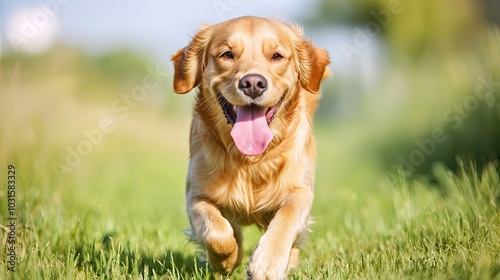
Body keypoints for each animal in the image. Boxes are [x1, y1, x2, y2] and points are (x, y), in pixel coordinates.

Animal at [170, 15, 330, 280]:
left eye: (276, 56)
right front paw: (227, 260)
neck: (250, 160)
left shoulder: (300, 191)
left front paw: (267, 263)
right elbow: (218, 232)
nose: (253, 83)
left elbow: (286, 218)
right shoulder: (196, 194)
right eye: (227, 54)